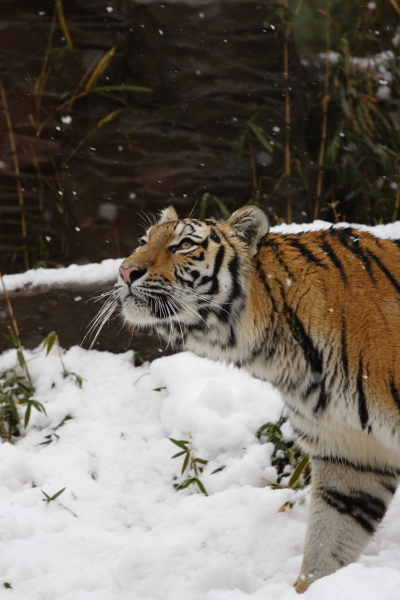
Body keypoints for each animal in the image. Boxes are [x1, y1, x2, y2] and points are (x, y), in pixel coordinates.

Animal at [111, 205, 400, 592]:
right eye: (144, 241)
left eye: (185, 244)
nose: (126, 271)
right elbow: (327, 543)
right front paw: (306, 591)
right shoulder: (349, 455)